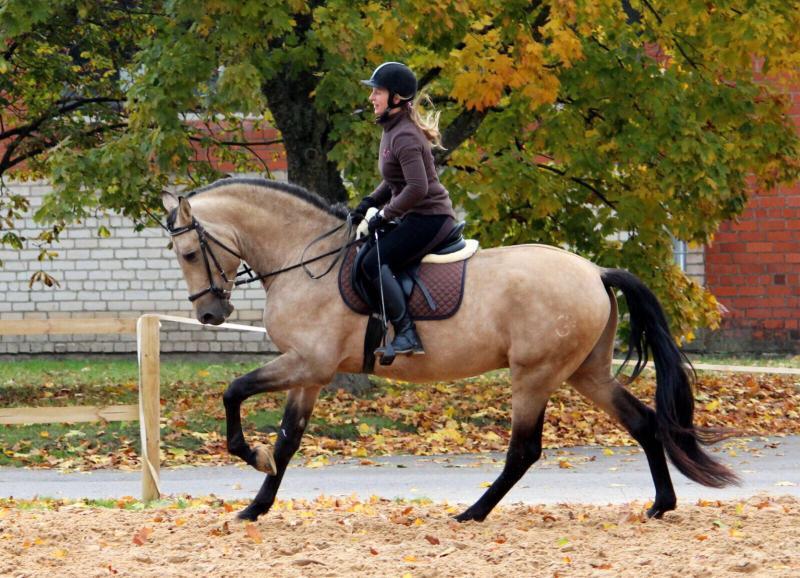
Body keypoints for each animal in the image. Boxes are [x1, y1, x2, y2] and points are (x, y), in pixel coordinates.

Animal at [161, 177, 736, 520]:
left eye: (188, 252)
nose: (209, 314)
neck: (306, 262)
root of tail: (595, 270)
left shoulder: (307, 364)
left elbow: (235, 392)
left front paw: (249, 456)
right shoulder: (310, 375)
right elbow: (286, 442)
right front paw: (256, 505)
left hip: (534, 375)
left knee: (524, 451)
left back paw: (473, 513)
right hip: (585, 374)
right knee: (643, 422)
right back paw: (661, 504)